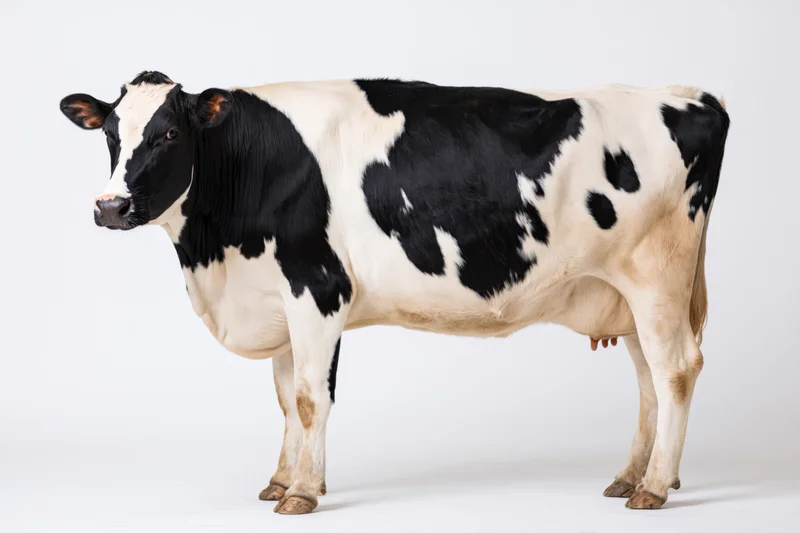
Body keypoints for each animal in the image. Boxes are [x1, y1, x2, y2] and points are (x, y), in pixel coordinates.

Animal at [59, 71, 729, 515]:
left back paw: (653, 488)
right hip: (626, 293)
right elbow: (285, 399)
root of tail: (693, 96)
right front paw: (280, 479)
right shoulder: (278, 299)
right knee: (648, 378)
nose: (110, 206)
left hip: (658, 274)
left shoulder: (318, 287)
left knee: (676, 369)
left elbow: (310, 399)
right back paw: (633, 477)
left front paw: (302, 492)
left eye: (170, 133)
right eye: (111, 132)